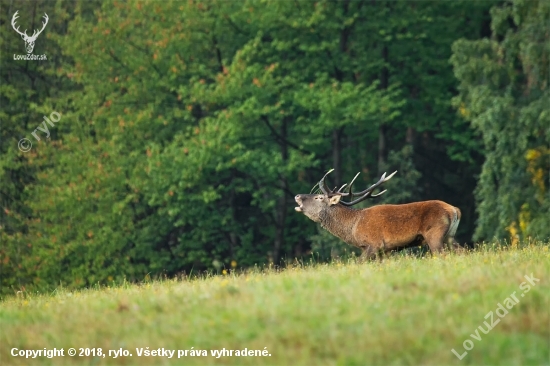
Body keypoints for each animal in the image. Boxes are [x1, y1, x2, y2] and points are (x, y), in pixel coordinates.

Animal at [296, 169, 464, 260]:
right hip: (450, 235)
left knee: (442, 254)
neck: (353, 228)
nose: (297, 195)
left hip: (434, 233)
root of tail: (455, 210)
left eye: (319, 197)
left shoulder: (374, 244)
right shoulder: (384, 251)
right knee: (461, 251)